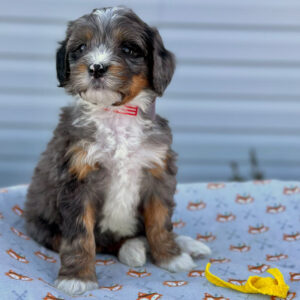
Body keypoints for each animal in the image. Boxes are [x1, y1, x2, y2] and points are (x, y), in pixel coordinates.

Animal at [24, 6, 211, 296]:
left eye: (129, 49)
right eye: (80, 48)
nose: (96, 67)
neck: (116, 115)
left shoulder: (157, 174)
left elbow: (160, 222)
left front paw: (170, 256)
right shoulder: (78, 179)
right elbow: (80, 236)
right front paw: (77, 277)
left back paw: (184, 244)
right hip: (43, 225)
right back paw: (132, 248)